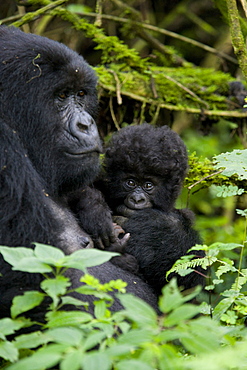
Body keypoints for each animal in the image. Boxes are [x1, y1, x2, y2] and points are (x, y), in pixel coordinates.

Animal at [100, 123, 205, 294]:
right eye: (130, 182)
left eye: (148, 185)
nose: (137, 199)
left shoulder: (185, 216)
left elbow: (190, 274)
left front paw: (152, 228)